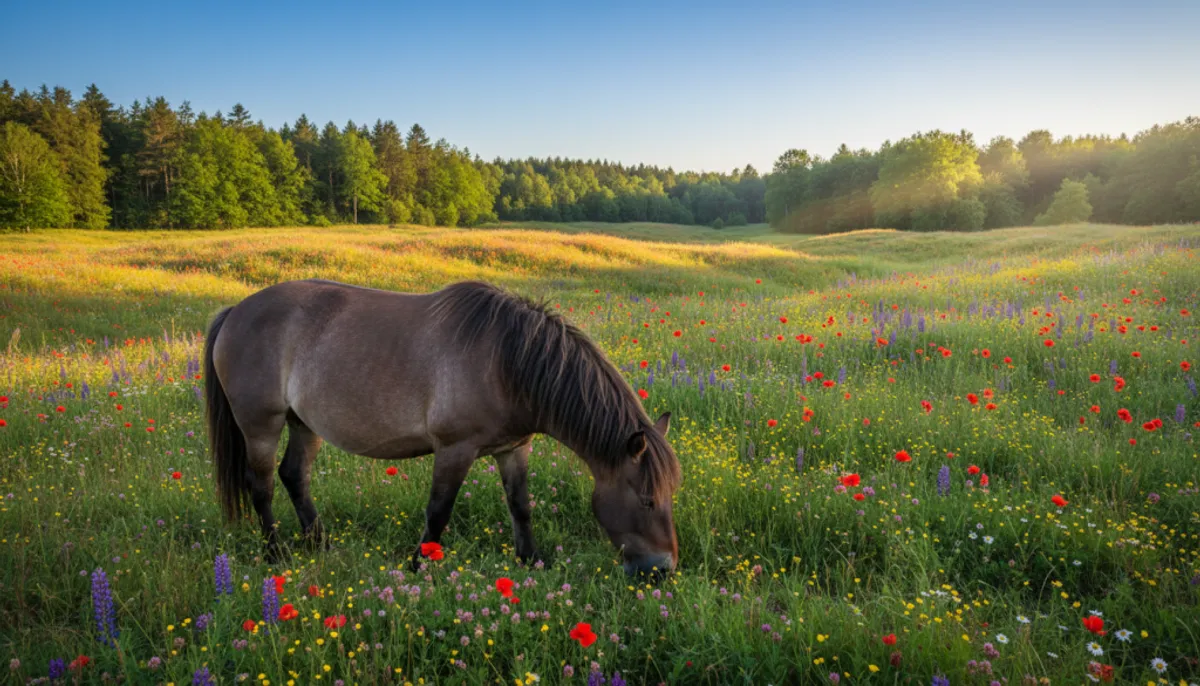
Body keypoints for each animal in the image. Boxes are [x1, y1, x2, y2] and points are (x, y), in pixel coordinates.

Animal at [203, 279, 681, 576]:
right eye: (646, 499)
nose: (662, 572)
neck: (505, 362)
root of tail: (236, 311)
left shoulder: (514, 448)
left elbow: (520, 506)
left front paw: (530, 562)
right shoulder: (455, 449)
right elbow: (438, 513)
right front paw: (417, 568)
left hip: (304, 424)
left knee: (294, 476)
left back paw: (319, 543)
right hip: (260, 425)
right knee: (262, 485)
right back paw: (275, 553)